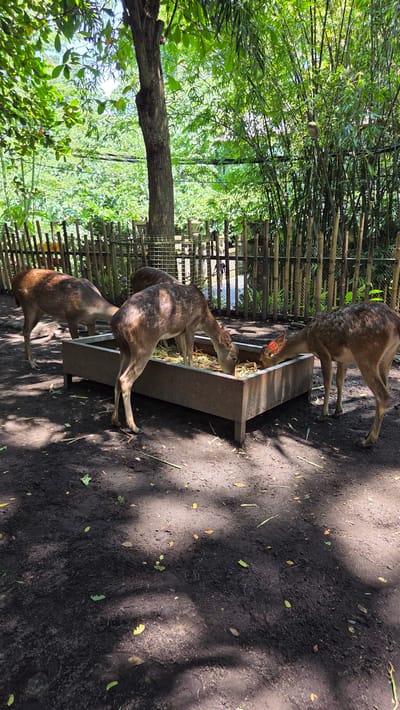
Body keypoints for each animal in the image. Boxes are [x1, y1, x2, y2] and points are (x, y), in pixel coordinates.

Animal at [111, 281, 239, 432]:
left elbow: (183, 351)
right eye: (234, 358)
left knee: (117, 378)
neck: (204, 314)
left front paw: (184, 365)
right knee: (125, 379)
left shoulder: (180, 331)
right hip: (143, 346)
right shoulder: (191, 325)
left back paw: (115, 420)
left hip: (124, 349)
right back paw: (134, 426)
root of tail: (117, 324)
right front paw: (192, 367)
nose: (232, 374)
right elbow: (189, 351)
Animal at [259, 301, 400, 447]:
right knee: (384, 389)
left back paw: (369, 440)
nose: (260, 367)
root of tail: (396, 323)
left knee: (383, 395)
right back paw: (368, 434)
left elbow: (327, 382)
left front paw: (323, 415)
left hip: (366, 356)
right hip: (387, 358)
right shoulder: (343, 359)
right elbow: (339, 381)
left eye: (261, 360)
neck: (307, 340)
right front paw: (338, 411)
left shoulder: (323, 352)